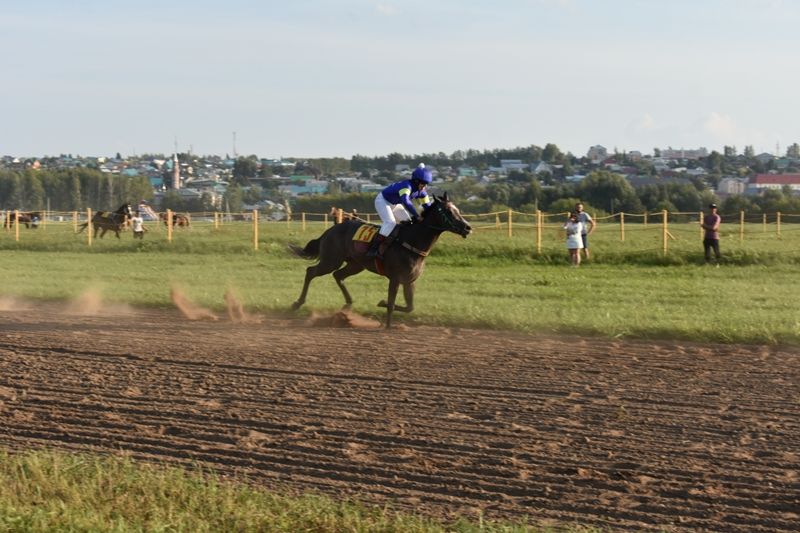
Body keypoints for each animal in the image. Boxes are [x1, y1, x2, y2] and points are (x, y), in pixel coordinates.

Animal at [290, 193, 472, 326]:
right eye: (449, 211)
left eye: (457, 209)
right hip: (331, 260)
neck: (412, 241)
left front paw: (381, 304)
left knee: (338, 275)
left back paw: (347, 306)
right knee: (311, 272)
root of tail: (329, 230)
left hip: (356, 265)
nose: (467, 227)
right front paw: (387, 325)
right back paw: (297, 303)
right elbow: (392, 304)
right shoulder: (396, 278)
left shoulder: (409, 280)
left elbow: (409, 307)